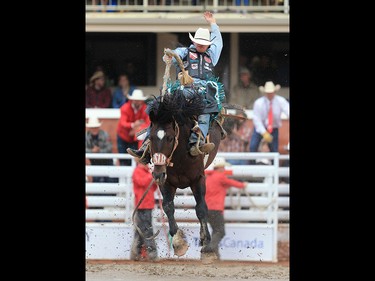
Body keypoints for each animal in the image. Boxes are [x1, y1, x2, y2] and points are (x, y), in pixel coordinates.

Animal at [146, 87, 223, 258]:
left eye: (169, 138)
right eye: (151, 137)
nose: (157, 174)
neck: (180, 156)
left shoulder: (198, 179)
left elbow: (201, 208)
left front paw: (207, 244)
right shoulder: (167, 182)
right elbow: (168, 206)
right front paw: (178, 242)